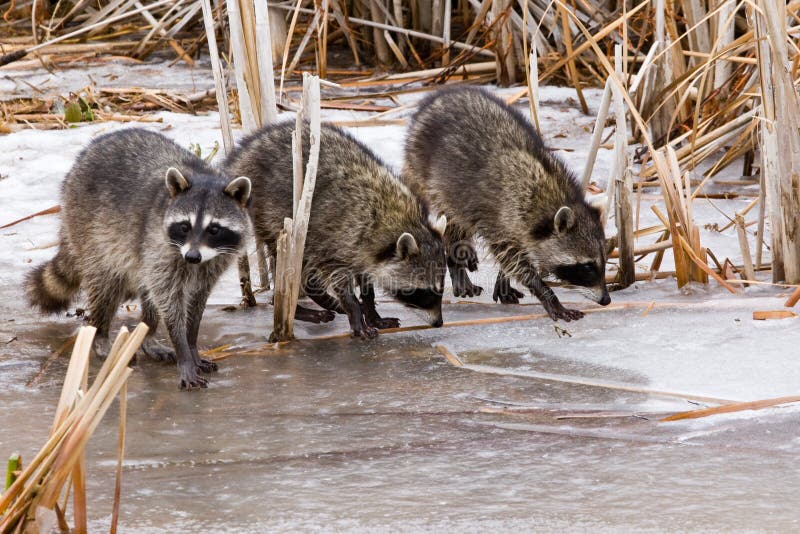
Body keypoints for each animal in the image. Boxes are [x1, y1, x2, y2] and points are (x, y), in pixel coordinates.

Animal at [25, 130, 250, 390]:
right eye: (184, 226)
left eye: (214, 229)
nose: (192, 257)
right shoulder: (159, 246)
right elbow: (169, 300)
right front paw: (183, 350)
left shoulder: (211, 264)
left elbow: (196, 301)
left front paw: (191, 344)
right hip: (90, 231)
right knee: (106, 287)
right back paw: (100, 335)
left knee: (147, 293)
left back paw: (148, 333)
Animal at [225, 122, 446, 340]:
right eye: (425, 292)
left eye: (440, 289)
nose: (439, 323)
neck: (394, 220)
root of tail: (241, 155)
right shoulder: (339, 237)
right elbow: (339, 279)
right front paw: (356, 313)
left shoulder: (363, 250)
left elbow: (366, 281)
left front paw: (371, 312)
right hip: (275, 217)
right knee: (291, 269)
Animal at [404, 87, 608, 322]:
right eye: (587, 266)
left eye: (603, 261)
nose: (606, 300)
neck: (550, 197)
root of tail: (439, 97)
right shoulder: (501, 215)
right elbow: (512, 258)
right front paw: (546, 293)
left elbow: (513, 255)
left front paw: (504, 278)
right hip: (432, 179)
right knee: (454, 223)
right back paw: (457, 263)